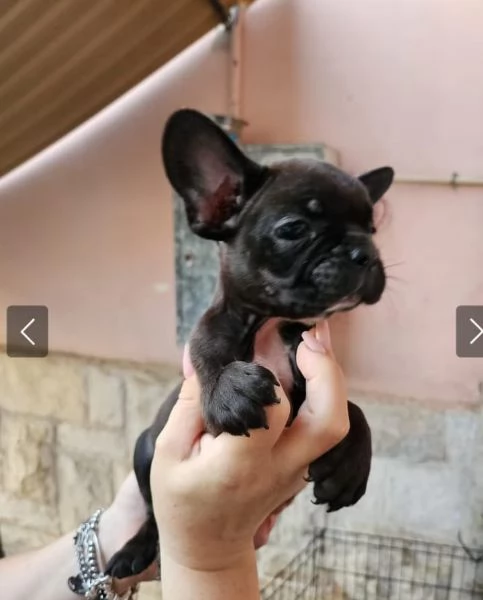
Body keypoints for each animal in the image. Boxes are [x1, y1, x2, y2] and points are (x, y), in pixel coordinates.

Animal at [106, 110, 394, 580]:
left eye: (372, 229)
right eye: (294, 228)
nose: (364, 252)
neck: (270, 325)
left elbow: (353, 408)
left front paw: (351, 466)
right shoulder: (213, 333)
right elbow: (210, 351)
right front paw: (231, 389)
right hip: (145, 450)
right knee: (151, 514)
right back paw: (136, 550)